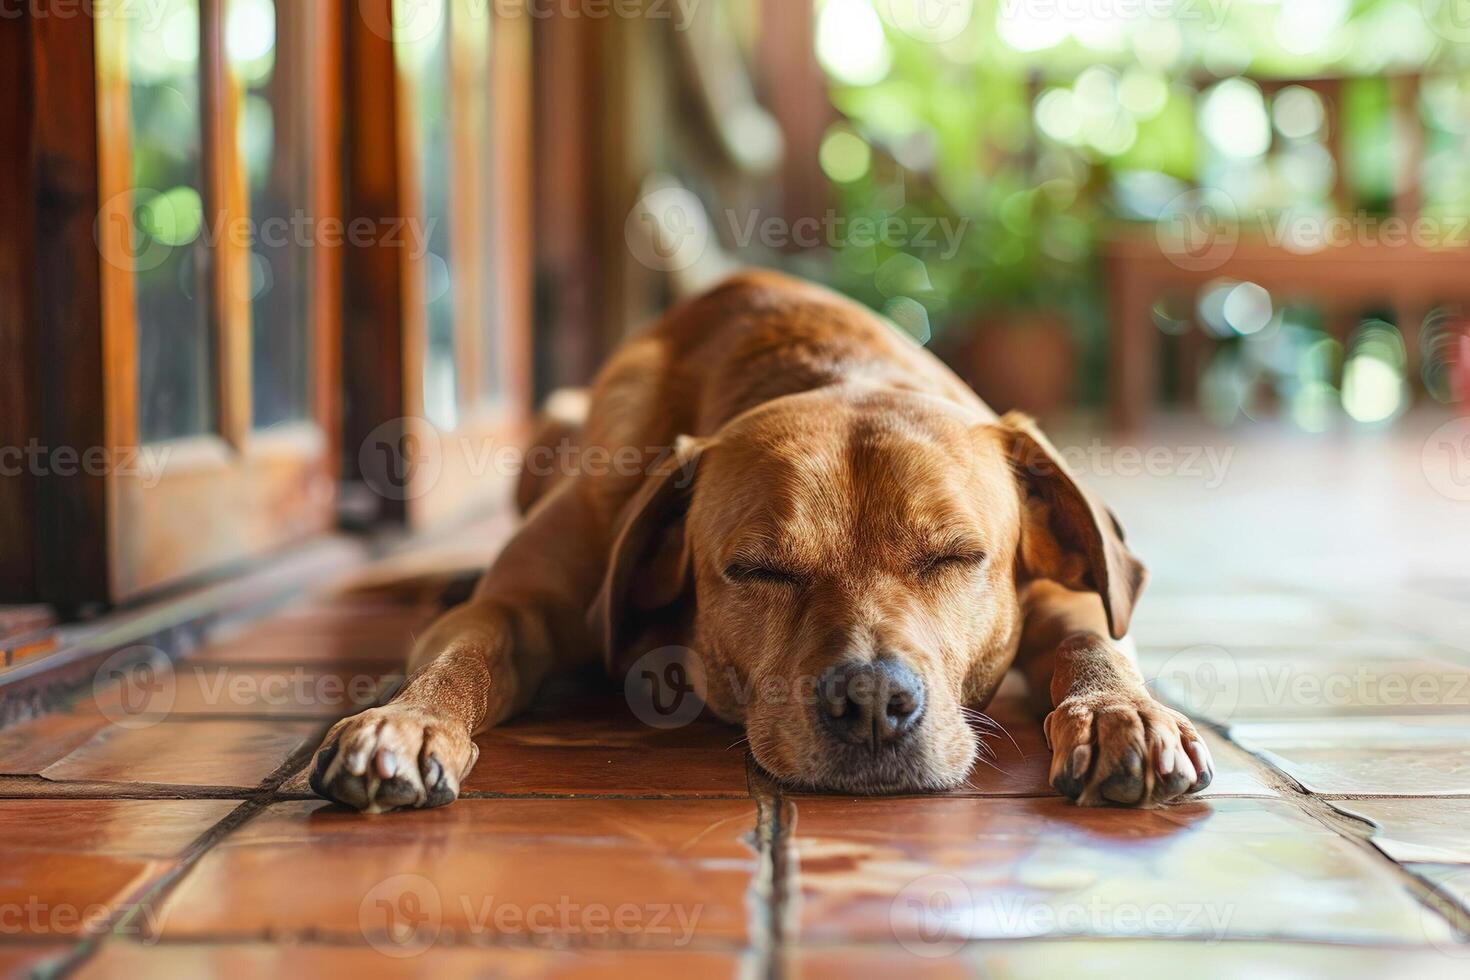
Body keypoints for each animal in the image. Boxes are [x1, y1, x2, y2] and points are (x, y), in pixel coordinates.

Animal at [304, 268, 1211, 811]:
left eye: (956, 557)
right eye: (758, 569)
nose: (872, 703)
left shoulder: (1054, 591)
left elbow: (1093, 637)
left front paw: (1119, 712)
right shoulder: (514, 608)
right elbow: (466, 655)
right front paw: (408, 721)